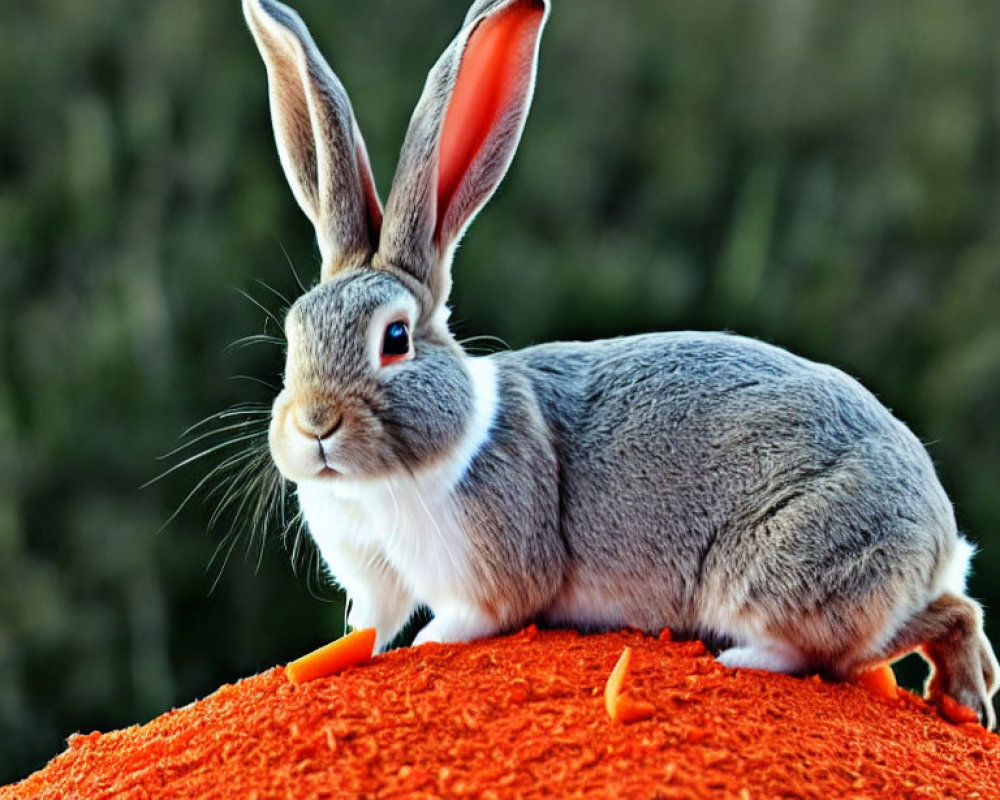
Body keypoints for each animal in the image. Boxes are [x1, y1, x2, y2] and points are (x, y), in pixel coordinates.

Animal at [244, 0, 1000, 728]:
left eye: (395, 338)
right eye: (293, 333)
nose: (315, 425)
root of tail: (938, 534)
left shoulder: (485, 572)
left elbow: (469, 619)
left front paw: (432, 643)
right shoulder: (376, 581)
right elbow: (370, 625)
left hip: (783, 570)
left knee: (833, 644)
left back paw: (746, 660)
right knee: (946, 619)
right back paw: (965, 699)